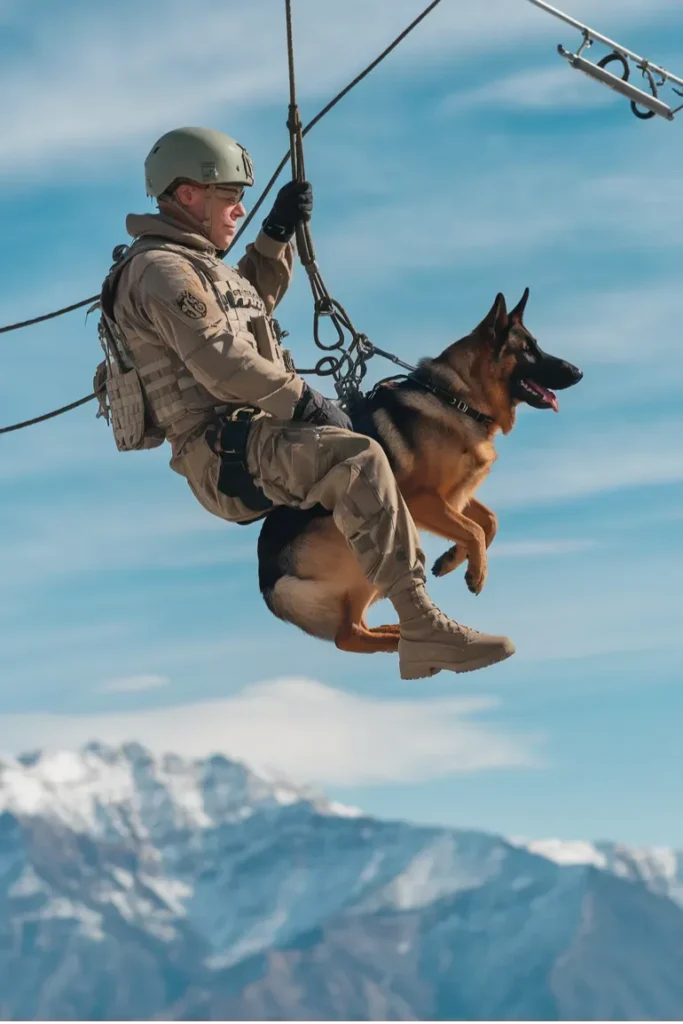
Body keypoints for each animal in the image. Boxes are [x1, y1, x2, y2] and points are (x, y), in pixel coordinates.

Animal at [255, 288, 581, 655]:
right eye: (527, 350)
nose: (578, 372)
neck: (459, 399)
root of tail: (270, 581)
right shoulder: (423, 500)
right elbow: (475, 530)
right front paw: (476, 573)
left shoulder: (454, 496)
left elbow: (488, 523)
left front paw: (454, 559)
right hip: (363, 547)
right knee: (347, 636)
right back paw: (412, 639)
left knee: (356, 627)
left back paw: (406, 633)